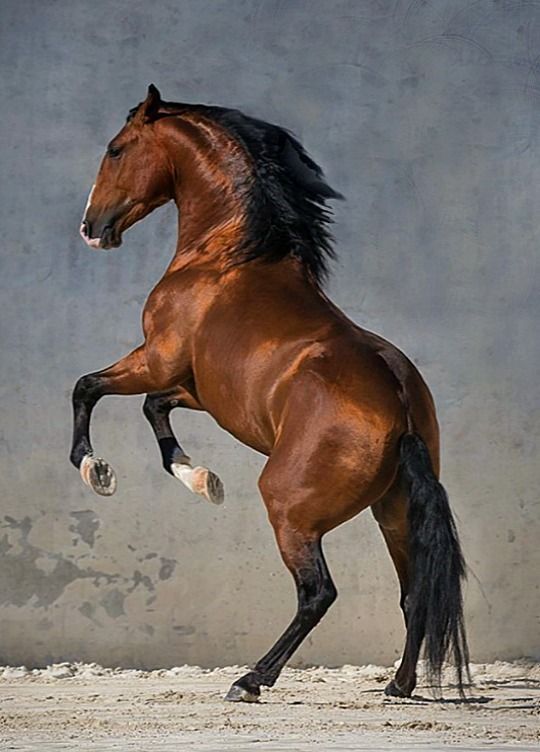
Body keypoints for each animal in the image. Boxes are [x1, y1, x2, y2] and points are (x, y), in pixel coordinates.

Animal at [70, 85, 468, 704]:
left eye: (116, 149)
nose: (92, 227)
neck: (227, 256)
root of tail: (399, 404)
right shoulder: (199, 391)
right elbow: (152, 408)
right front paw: (201, 479)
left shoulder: (154, 359)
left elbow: (88, 387)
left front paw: (96, 470)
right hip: (394, 513)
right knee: (412, 594)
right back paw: (397, 686)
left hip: (290, 511)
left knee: (317, 593)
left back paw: (251, 679)